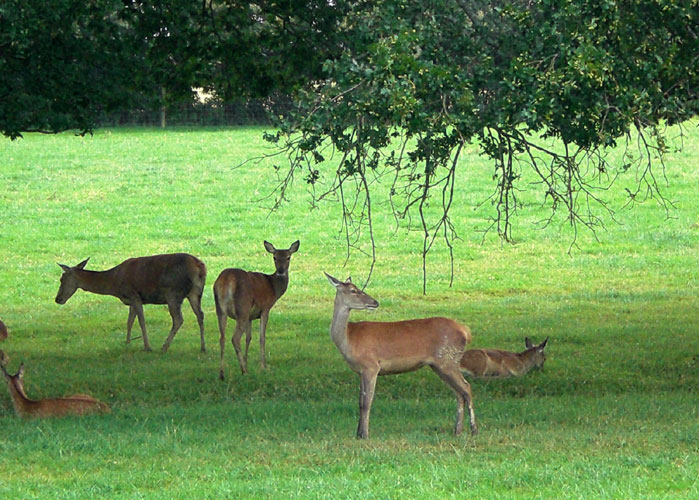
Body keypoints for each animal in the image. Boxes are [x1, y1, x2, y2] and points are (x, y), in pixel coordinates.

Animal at [55, 254, 206, 352]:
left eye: (62, 279)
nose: (58, 299)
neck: (115, 284)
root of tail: (200, 267)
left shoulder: (134, 295)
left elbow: (141, 321)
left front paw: (147, 347)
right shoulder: (131, 301)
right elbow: (129, 321)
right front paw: (127, 342)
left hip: (173, 293)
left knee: (178, 319)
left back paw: (164, 347)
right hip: (195, 293)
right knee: (200, 315)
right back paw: (203, 347)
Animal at [213, 241, 300, 378]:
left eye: (288, 257)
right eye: (274, 257)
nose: (281, 270)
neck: (273, 288)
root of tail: (227, 280)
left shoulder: (250, 316)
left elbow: (248, 338)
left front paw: (246, 362)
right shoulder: (265, 308)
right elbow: (262, 337)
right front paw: (263, 366)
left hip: (220, 309)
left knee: (222, 338)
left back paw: (222, 373)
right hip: (242, 307)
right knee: (235, 338)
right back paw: (244, 371)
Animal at [326, 272, 478, 440]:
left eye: (358, 288)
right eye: (353, 290)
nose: (375, 302)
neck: (349, 339)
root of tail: (466, 331)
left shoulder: (371, 366)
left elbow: (366, 402)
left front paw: (365, 435)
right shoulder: (360, 371)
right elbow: (360, 401)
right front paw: (358, 433)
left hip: (448, 360)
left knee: (467, 388)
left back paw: (474, 430)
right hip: (440, 364)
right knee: (459, 393)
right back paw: (457, 431)